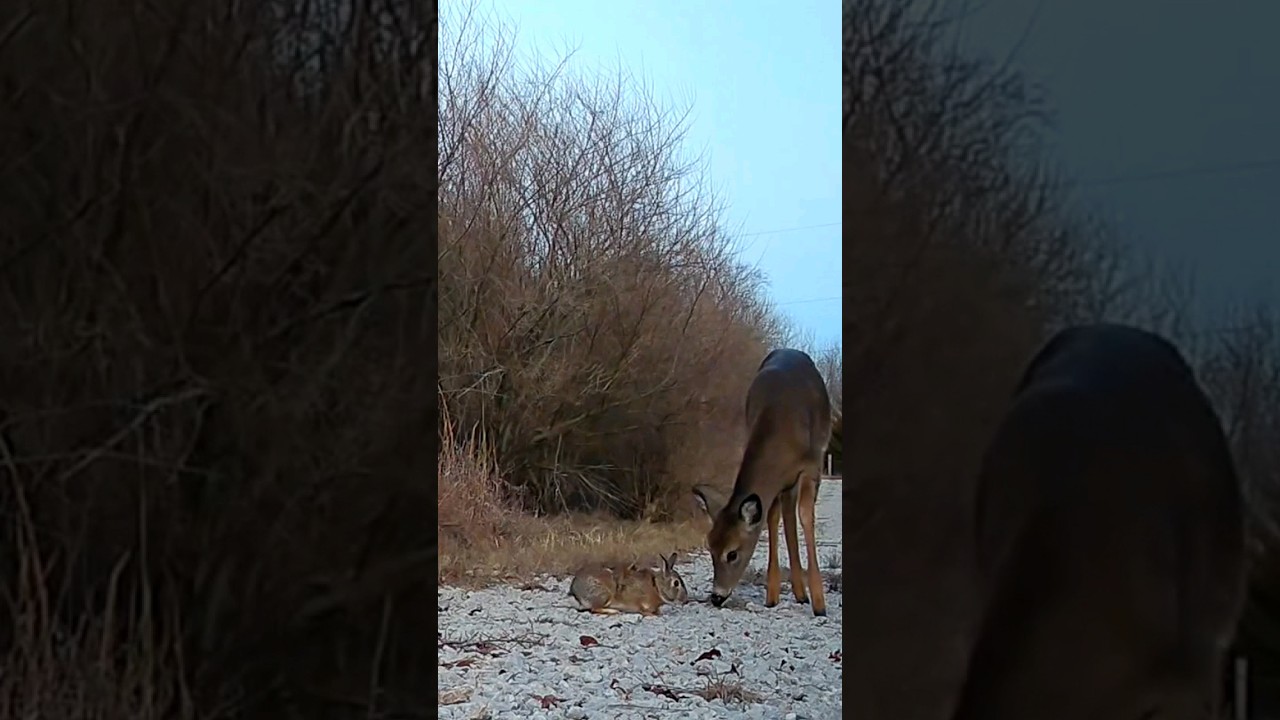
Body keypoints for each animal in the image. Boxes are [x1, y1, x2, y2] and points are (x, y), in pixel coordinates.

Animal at [692, 348, 833, 617]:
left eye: (732, 553)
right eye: (710, 548)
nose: (716, 597)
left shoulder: (812, 466)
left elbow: (806, 517)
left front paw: (820, 604)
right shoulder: (776, 483)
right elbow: (772, 518)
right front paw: (772, 596)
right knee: (784, 515)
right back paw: (799, 593)